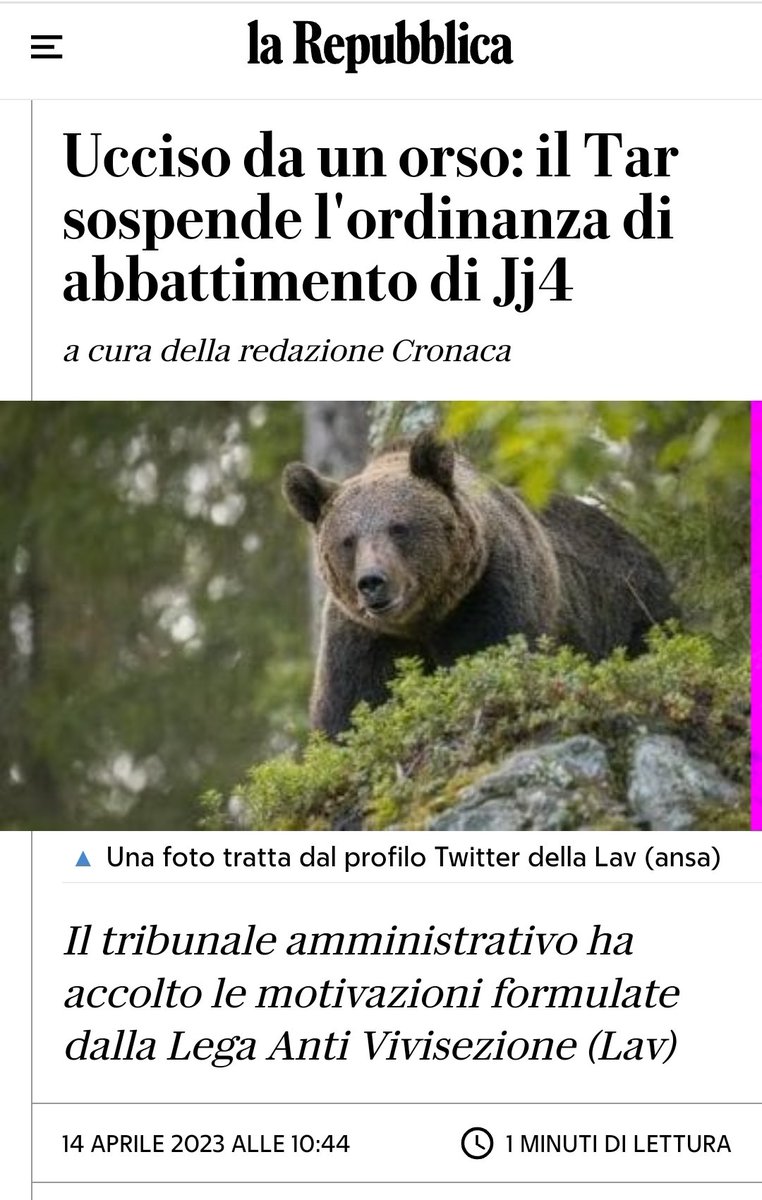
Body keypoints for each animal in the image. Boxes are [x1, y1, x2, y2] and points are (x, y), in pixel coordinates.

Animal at [283, 431, 676, 738]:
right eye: (347, 540)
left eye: (399, 527)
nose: (372, 582)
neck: (424, 621)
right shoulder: (363, 638)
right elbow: (350, 712)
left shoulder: (491, 595)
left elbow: (491, 660)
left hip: (632, 608)